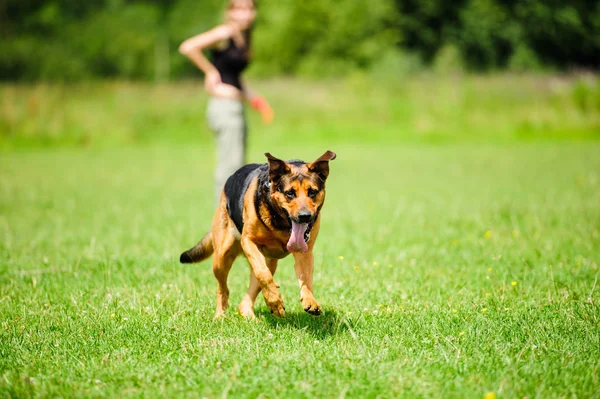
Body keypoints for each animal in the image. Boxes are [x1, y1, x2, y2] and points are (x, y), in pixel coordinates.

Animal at [180, 150, 336, 318]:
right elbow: (263, 274)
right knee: (223, 288)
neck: (281, 224)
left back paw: (250, 316)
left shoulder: (304, 253)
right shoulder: (248, 241)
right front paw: (275, 301)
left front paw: (310, 301)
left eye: (312, 192)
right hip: (221, 258)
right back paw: (220, 315)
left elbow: (305, 278)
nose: (305, 216)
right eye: (289, 193)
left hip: (268, 262)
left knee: (246, 299)